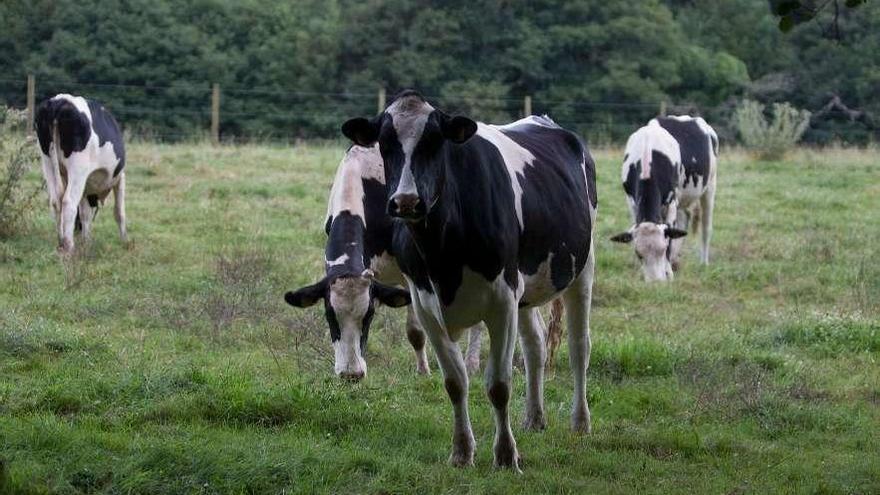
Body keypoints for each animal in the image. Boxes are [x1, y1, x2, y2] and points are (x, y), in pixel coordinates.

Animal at [34, 95, 129, 254]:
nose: (77, 231)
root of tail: (59, 101)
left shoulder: (86, 187)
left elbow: (85, 214)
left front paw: (86, 241)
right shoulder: (119, 177)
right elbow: (119, 212)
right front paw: (125, 241)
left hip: (47, 161)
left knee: (55, 201)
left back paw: (60, 242)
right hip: (78, 168)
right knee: (68, 202)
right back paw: (69, 246)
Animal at [286, 145, 484, 382]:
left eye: (369, 315)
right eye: (329, 315)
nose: (351, 374)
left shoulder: (411, 274)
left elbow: (415, 331)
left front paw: (423, 371)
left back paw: (471, 363)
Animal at [342, 91, 600, 470]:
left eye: (435, 142)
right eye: (385, 144)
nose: (406, 201)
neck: (443, 254)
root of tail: (545, 121)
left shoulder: (502, 300)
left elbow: (498, 385)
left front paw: (506, 456)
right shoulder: (426, 305)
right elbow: (454, 382)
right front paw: (462, 451)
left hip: (582, 268)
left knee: (579, 347)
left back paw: (580, 423)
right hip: (526, 288)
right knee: (535, 345)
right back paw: (534, 417)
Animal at [608, 114, 720, 280]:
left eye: (663, 249)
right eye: (639, 254)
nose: (656, 282)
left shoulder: (671, 202)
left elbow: (671, 233)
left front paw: (668, 272)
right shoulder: (631, 201)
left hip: (710, 185)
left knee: (706, 226)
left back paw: (703, 263)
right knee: (684, 219)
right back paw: (675, 260)